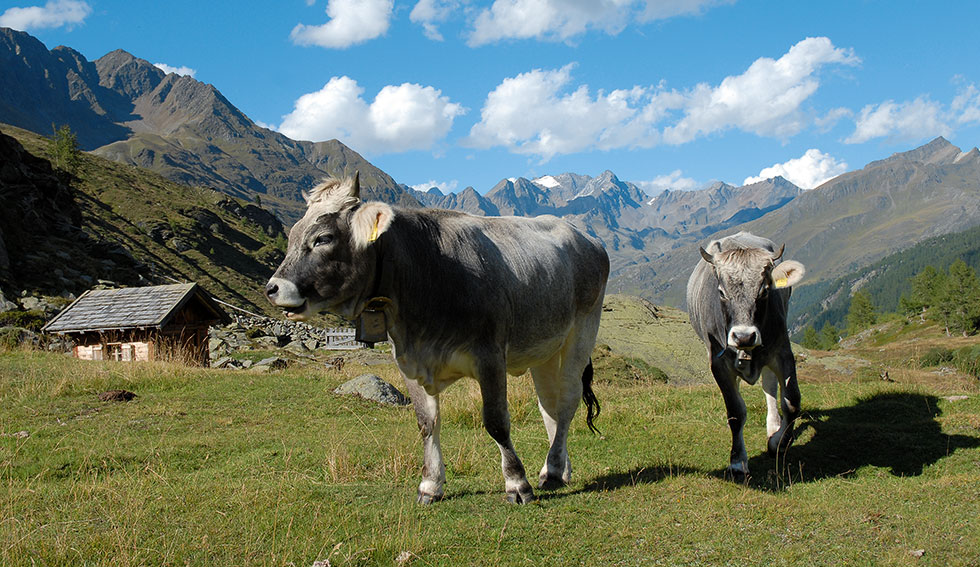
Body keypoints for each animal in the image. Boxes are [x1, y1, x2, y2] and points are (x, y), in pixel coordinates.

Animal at [264, 175, 608, 504]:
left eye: (323, 238)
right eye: (292, 236)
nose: (273, 288)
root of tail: (586, 237)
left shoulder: (490, 356)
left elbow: (496, 421)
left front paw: (516, 484)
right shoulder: (408, 362)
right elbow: (426, 423)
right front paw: (430, 485)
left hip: (583, 329)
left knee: (567, 400)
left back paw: (553, 470)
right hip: (545, 348)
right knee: (549, 405)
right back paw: (556, 469)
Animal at [688, 231, 804, 480]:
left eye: (764, 290)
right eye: (721, 292)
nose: (743, 336)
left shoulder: (782, 351)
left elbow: (791, 402)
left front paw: (778, 444)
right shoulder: (718, 363)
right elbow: (735, 410)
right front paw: (737, 462)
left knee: (769, 386)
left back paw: (773, 427)